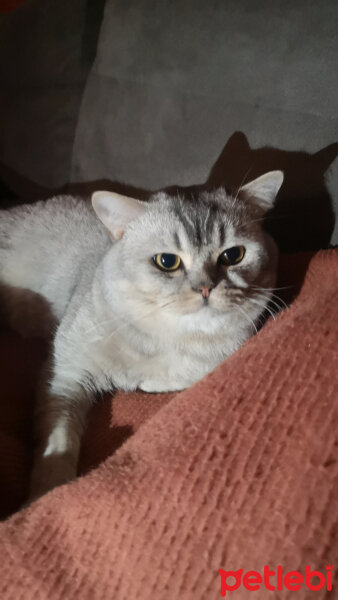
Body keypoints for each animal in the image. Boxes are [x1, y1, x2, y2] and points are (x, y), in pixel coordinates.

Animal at [0, 170, 282, 502]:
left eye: (233, 255)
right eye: (167, 262)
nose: (205, 288)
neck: (167, 337)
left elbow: (186, 374)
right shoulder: (66, 369)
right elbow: (58, 436)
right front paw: (48, 491)